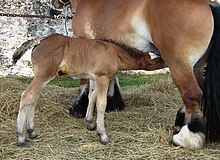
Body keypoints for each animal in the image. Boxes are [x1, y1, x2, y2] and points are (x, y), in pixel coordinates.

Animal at [13, 33, 164, 146]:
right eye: (157, 60)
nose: (165, 58)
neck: (114, 53)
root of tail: (39, 42)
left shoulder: (95, 78)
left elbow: (92, 97)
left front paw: (90, 123)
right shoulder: (103, 78)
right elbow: (101, 104)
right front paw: (102, 135)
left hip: (42, 77)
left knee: (33, 98)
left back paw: (31, 131)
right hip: (44, 75)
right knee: (27, 95)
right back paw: (21, 137)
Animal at [49, 0, 220, 149]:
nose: (53, 8)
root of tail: (208, 4)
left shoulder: (86, 45)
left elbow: (87, 84)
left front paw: (81, 110)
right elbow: (110, 80)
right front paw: (113, 102)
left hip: (179, 66)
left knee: (192, 94)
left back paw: (186, 138)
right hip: (196, 67)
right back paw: (180, 123)